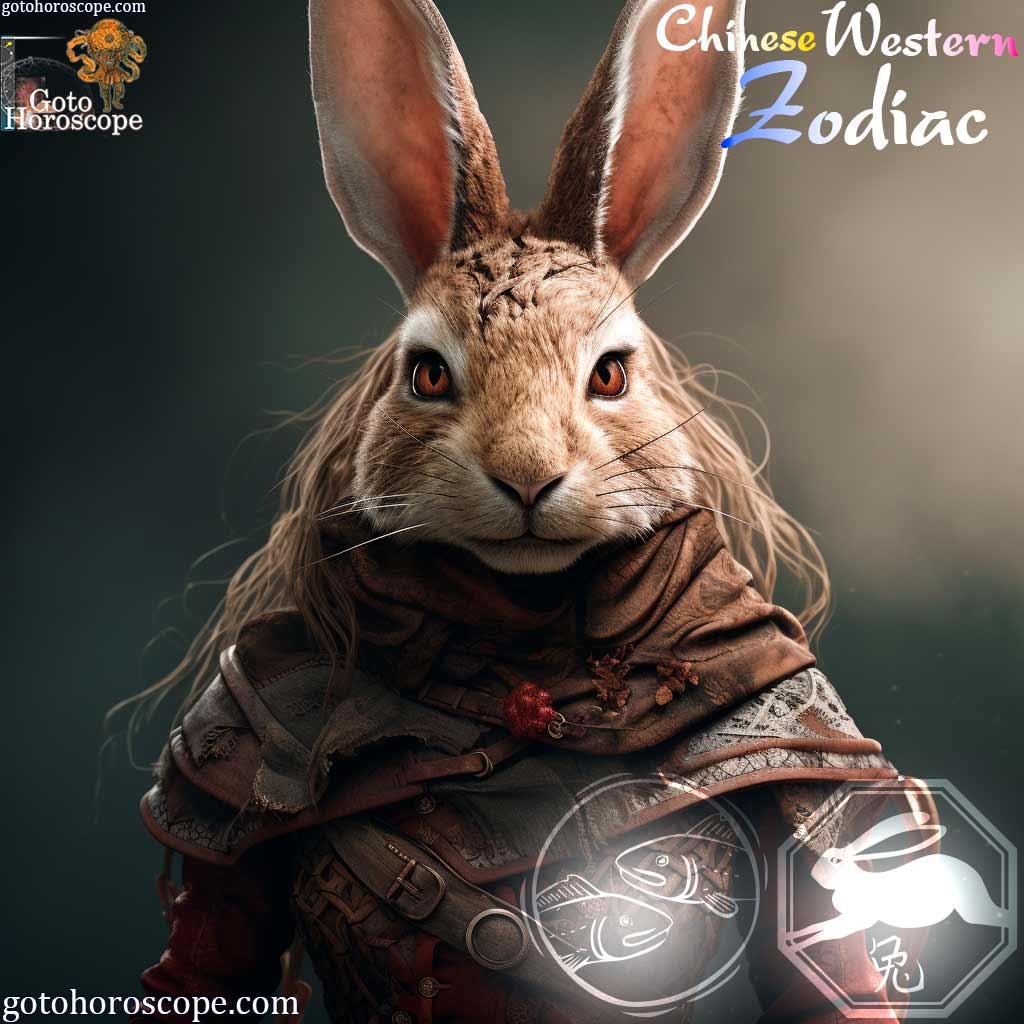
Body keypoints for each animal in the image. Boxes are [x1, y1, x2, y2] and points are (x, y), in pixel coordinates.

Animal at [784, 811, 1009, 951]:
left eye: (835, 860)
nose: (814, 875)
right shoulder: (847, 917)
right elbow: (818, 926)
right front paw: (790, 937)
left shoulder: (858, 919)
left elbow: (827, 933)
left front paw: (798, 946)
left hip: (973, 910)